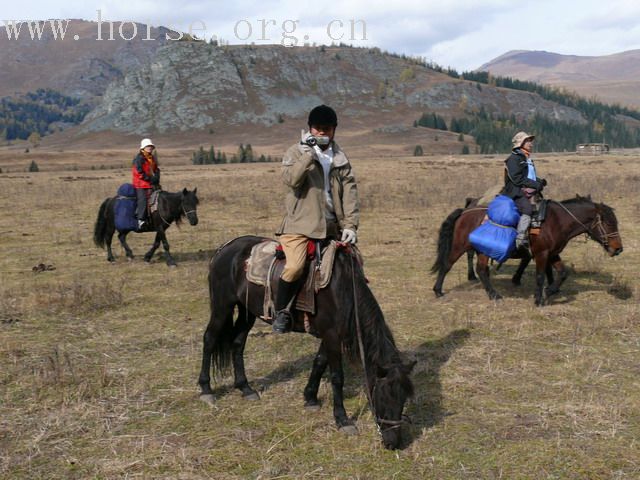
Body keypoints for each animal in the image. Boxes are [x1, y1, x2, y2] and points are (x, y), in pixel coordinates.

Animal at [198, 236, 416, 450]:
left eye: (403, 398)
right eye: (384, 396)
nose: (393, 443)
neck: (343, 289)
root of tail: (225, 248)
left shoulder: (330, 336)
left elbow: (319, 363)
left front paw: (310, 398)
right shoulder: (331, 336)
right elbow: (337, 377)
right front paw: (342, 420)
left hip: (247, 311)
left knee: (237, 343)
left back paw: (245, 388)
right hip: (222, 307)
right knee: (209, 339)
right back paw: (206, 390)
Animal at [432, 196, 624, 306]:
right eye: (608, 223)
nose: (618, 248)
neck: (557, 221)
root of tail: (465, 211)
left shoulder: (553, 253)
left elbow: (562, 273)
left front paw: (549, 291)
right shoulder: (541, 253)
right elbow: (540, 275)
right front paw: (539, 299)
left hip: (483, 250)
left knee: (482, 270)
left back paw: (493, 294)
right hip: (460, 246)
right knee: (447, 265)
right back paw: (438, 291)